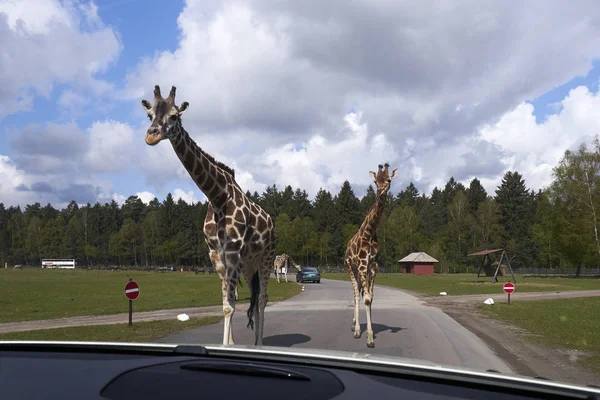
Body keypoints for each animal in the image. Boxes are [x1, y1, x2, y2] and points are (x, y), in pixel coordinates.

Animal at [142, 86, 276, 346]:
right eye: (149, 115)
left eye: (174, 116)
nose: (151, 136)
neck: (217, 197)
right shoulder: (216, 255)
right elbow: (227, 302)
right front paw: (231, 344)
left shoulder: (232, 252)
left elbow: (230, 305)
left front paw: (229, 345)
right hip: (249, 264)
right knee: (254, 298)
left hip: (266, 257)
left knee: (263, 298)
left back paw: (260, 344)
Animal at [346, 162, 398, 346]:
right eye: (376, 181)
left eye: (389, 180)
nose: (380, 193)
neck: (369, 233)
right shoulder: (362, 263)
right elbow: (366, 298)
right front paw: (368, 337)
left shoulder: (373, 265)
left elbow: (370, 297)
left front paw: (371, 333)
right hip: (351, 267)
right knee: (356, 294)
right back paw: (355, 330)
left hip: (362, 270)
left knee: (361, 292)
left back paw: (354, 325)